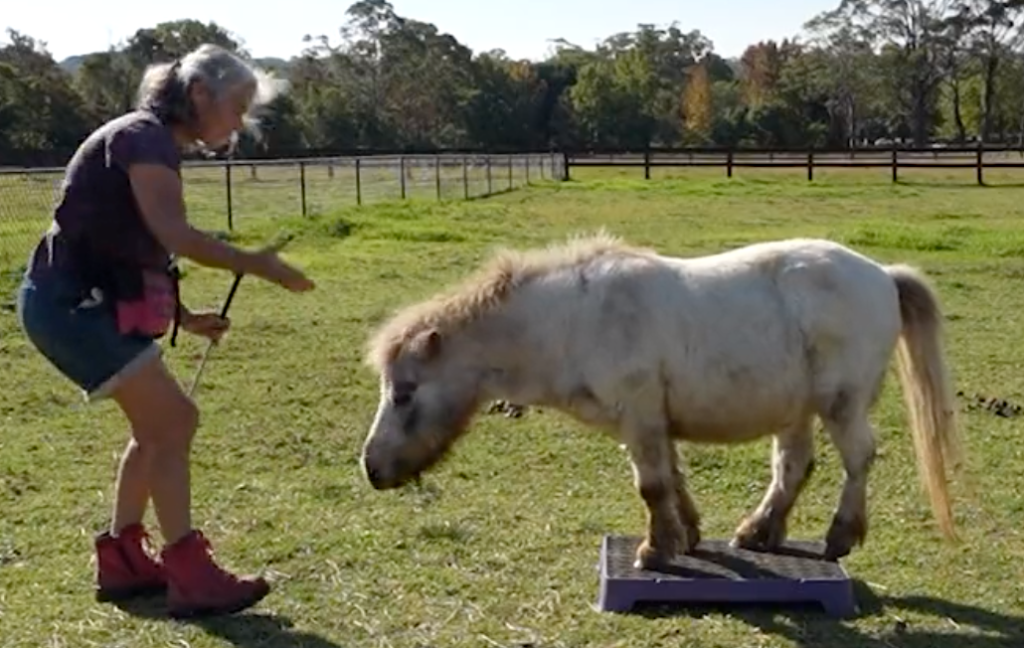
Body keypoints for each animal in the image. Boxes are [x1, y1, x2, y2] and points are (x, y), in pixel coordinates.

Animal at [360, 232, 958, 565]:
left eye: (405, 393)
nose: (371, 468)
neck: (574, 319)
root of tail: (882, 275)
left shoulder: (640, 417)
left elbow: (650, 485)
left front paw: (655, 551)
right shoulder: (655, 423)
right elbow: (671, 479)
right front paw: (685, 536)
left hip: (841, 403)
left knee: (857, 460)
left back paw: (839, 536)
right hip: (795, 409)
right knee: (792, 468)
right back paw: (759, 532)